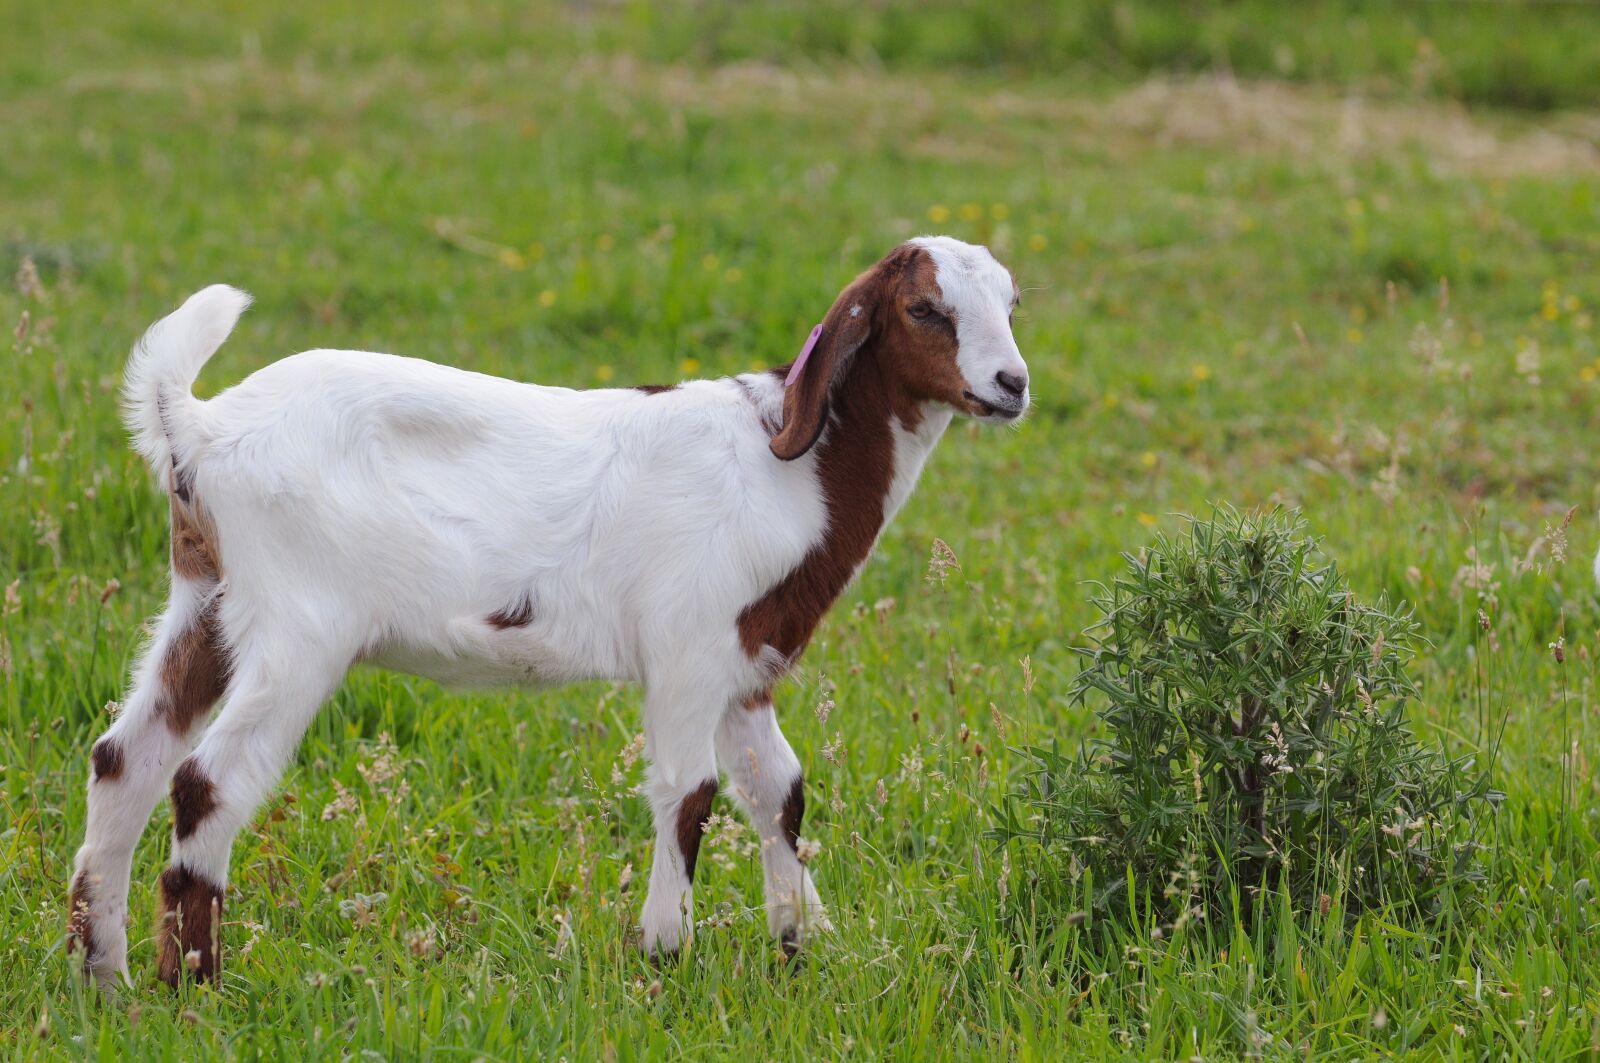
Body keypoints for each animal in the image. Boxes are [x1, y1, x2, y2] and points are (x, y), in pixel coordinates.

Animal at [67, 236, 1031, 986]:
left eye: (1012, 300)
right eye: (924, 308)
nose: (1012, 382)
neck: (788, 463)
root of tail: (196, 426)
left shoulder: (744, 664)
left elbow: (779, 791)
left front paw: (803, 943)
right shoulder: (687, 648)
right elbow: (689, 792)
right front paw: (662, 956)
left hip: (205, 598)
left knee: (125, 758)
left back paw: (105, 976)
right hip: (299, 624)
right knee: (206, 780)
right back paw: (194, 984)